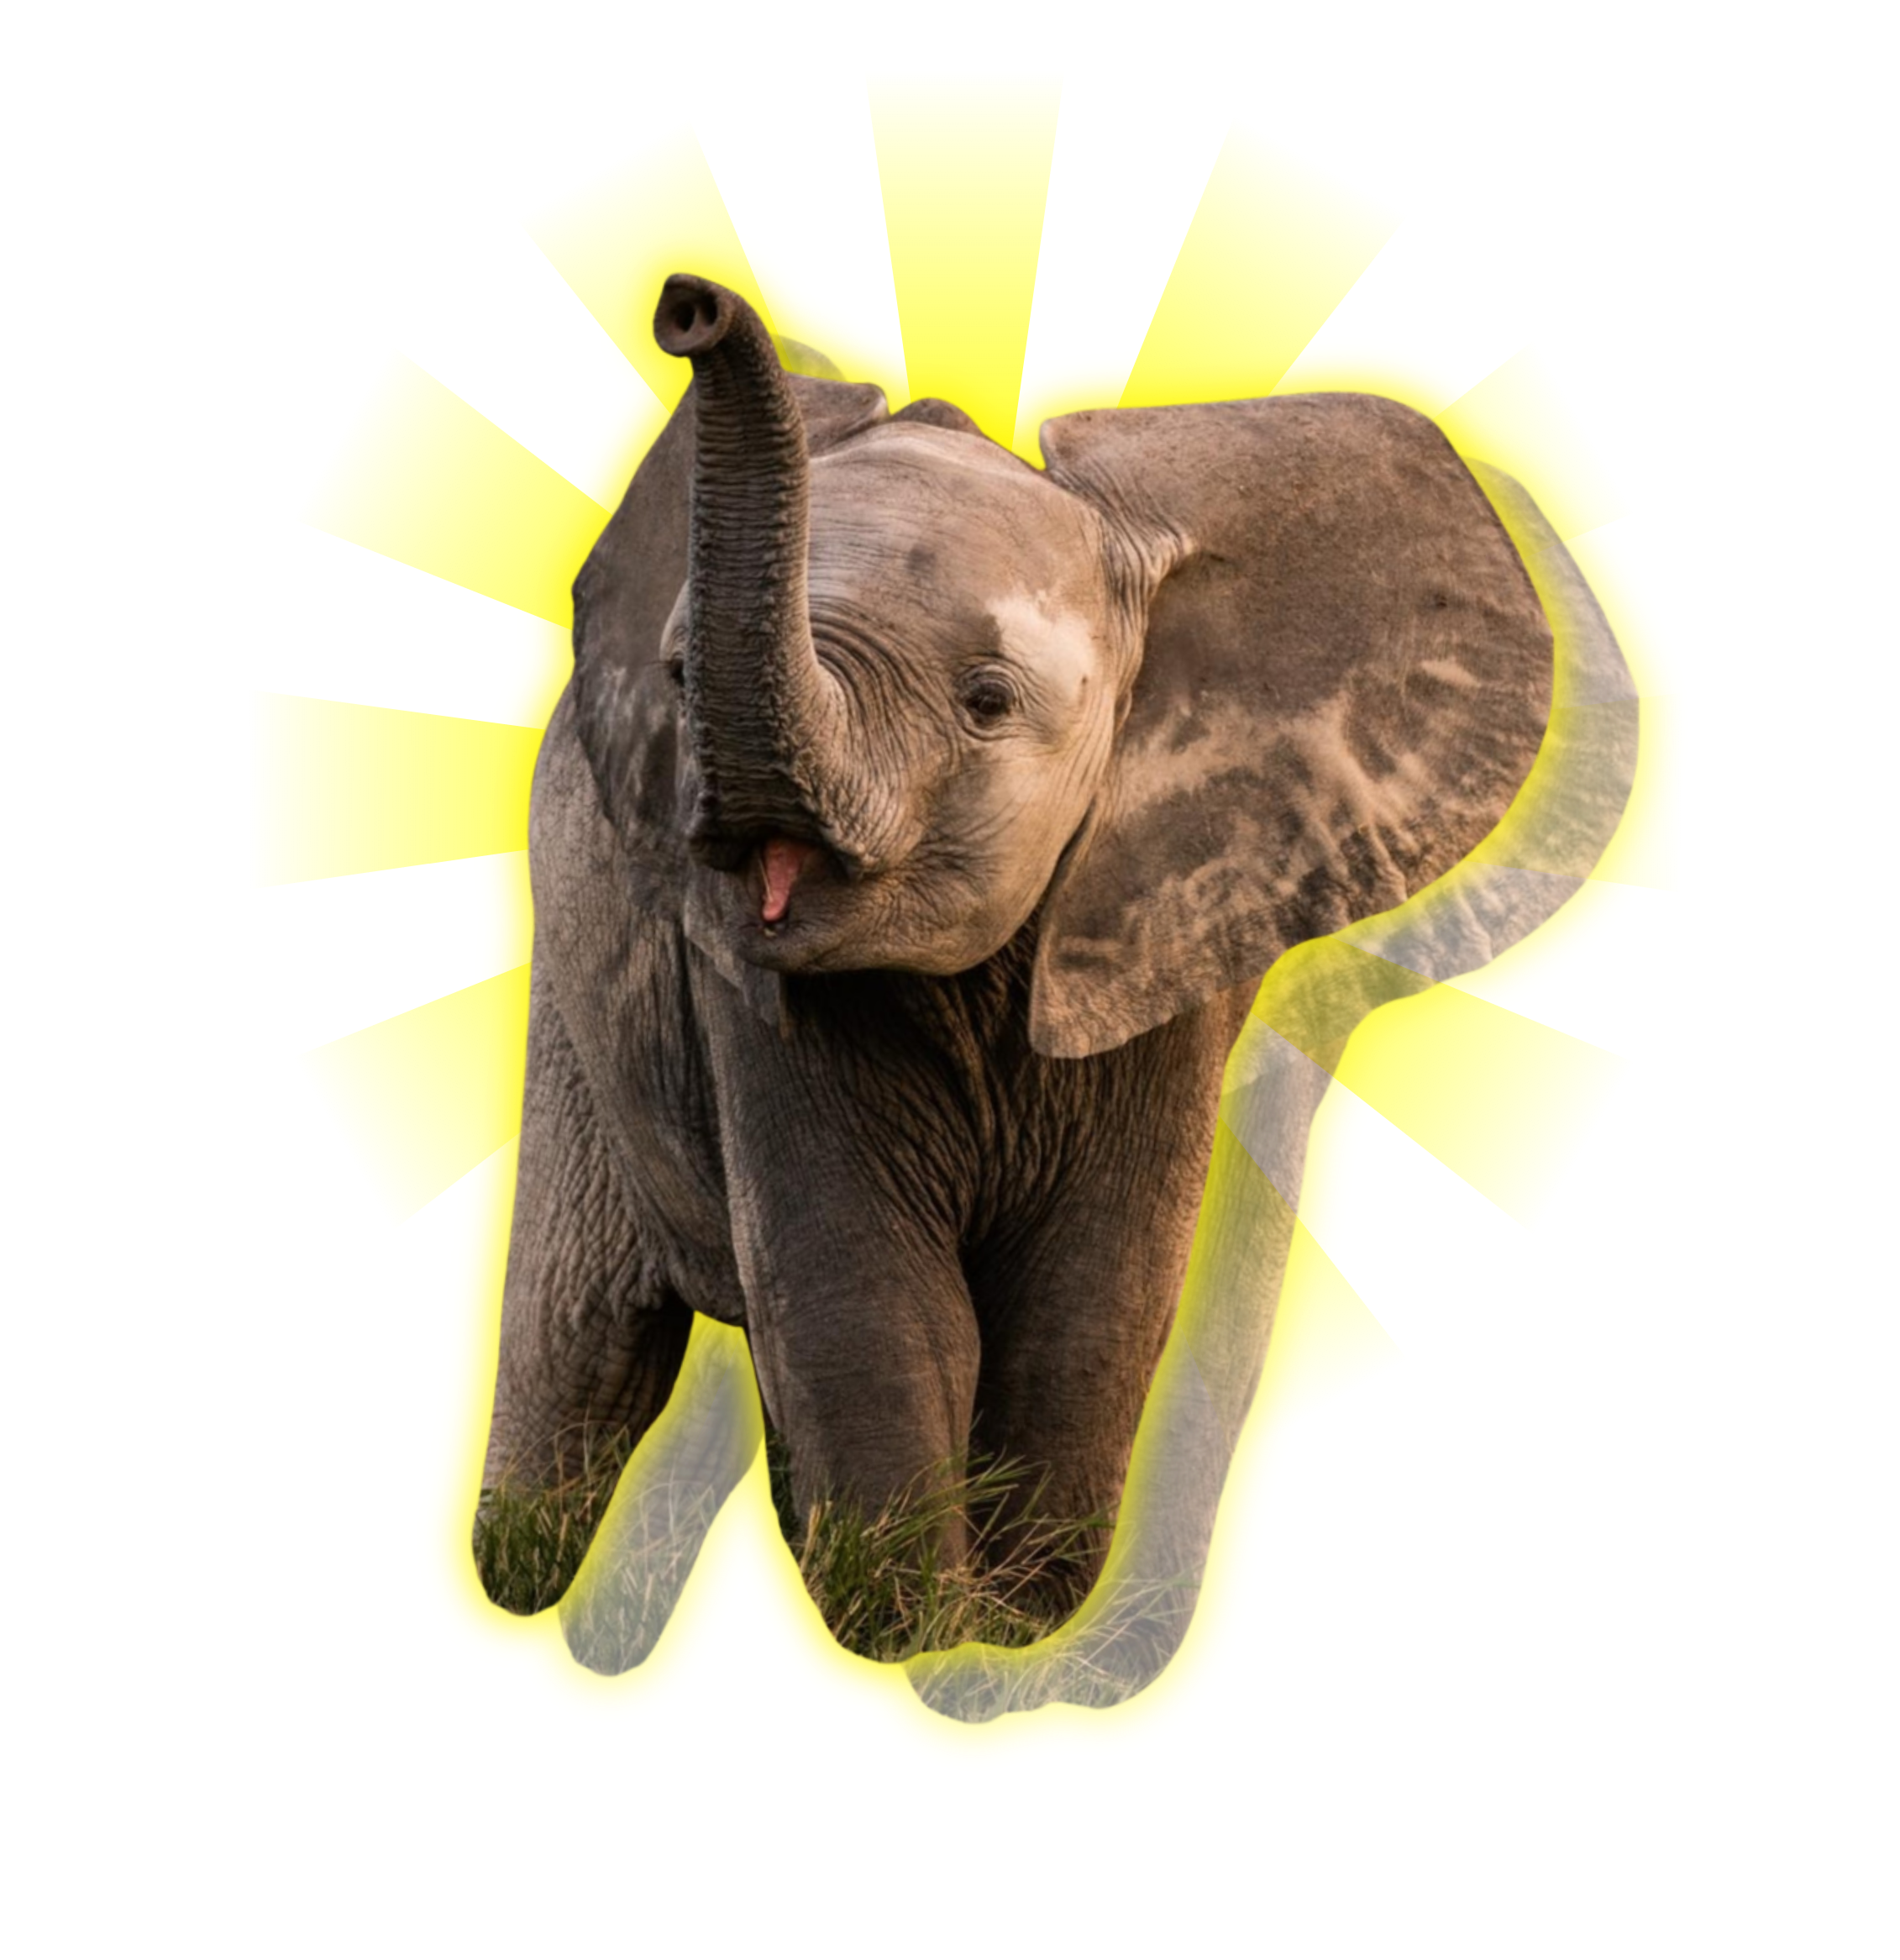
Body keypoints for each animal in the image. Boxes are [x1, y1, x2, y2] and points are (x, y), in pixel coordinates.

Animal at [478, 272, 1638, 1687]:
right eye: (682, 679)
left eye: (986, 702)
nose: (689, 304)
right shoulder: (737, 975)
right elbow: (870, 1300)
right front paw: (926, 1658)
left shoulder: (1172, 920)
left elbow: (1092, 1297)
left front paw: (1002, 1668)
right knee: (576, 1346)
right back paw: (530, 1605)